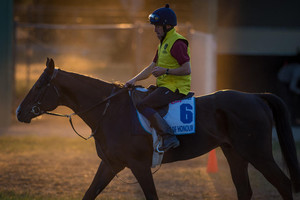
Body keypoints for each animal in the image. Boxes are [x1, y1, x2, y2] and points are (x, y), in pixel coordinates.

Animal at [16, 57, 300, 200]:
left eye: (40, 85)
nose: (19, 112)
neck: (110, 111)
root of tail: (256, 97)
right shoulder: (111, 164)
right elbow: (89, 193)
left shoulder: (139, 166)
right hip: (235, 154)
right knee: (245, 190)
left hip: (258, 154)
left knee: (285, 186)